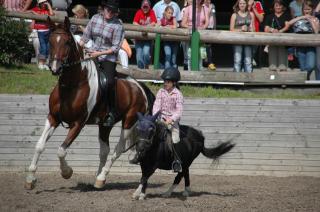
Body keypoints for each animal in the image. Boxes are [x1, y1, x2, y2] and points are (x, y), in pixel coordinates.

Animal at [24, 16, 154, 189]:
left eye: (67, 42)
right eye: (50, 41)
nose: (55, 68)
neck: (71, 86)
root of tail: (140, 87)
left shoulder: (78, 124)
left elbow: (61, 150)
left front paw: (67, 172)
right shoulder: (53, 118)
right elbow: (39, 146)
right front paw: (30, 179)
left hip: (129, 122)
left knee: (118, 149)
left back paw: (102, 176)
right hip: (105, 125)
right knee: (105, 150)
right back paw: (98, 179)